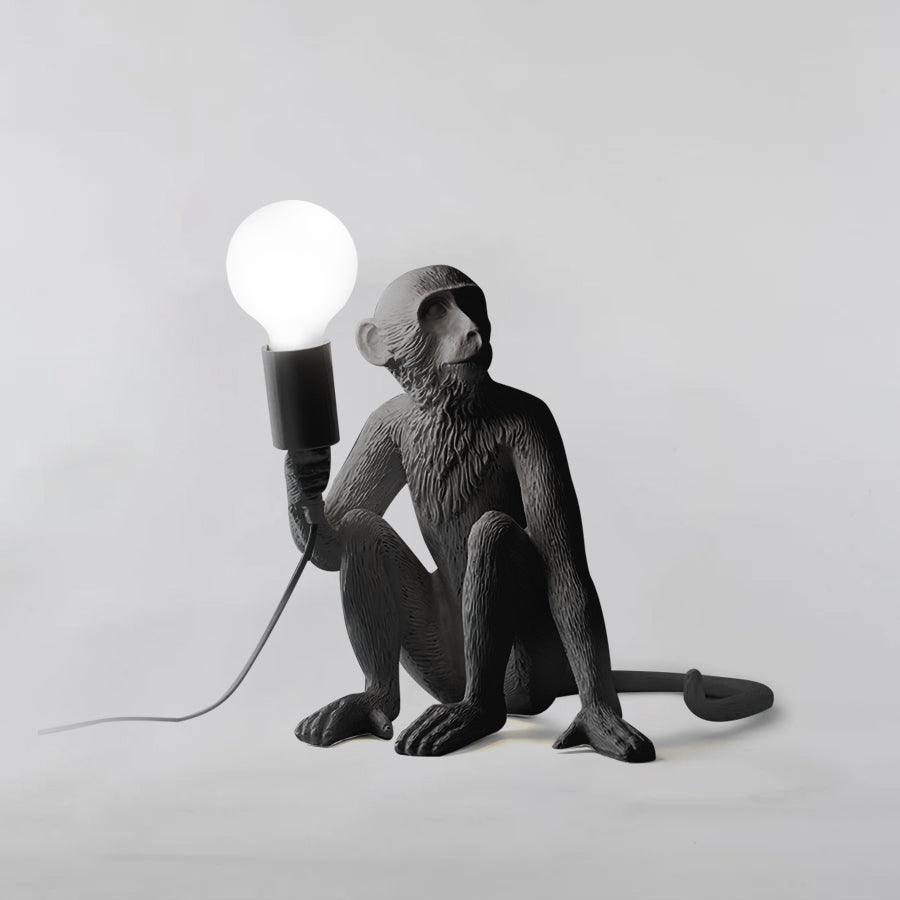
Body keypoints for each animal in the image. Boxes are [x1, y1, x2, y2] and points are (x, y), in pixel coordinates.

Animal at [284, 265, 773, 761]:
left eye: (469, 303)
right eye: (435, 311)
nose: (473, 332)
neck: (450, 409)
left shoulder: (535, 420)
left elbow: (563, 565)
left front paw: (600, 717)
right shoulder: (383, 421)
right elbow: (331, 545)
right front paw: (301, 465)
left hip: (527, 672)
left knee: (495, 533)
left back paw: (476, 713)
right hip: (440, 666)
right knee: (362, 531)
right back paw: (375, 702)